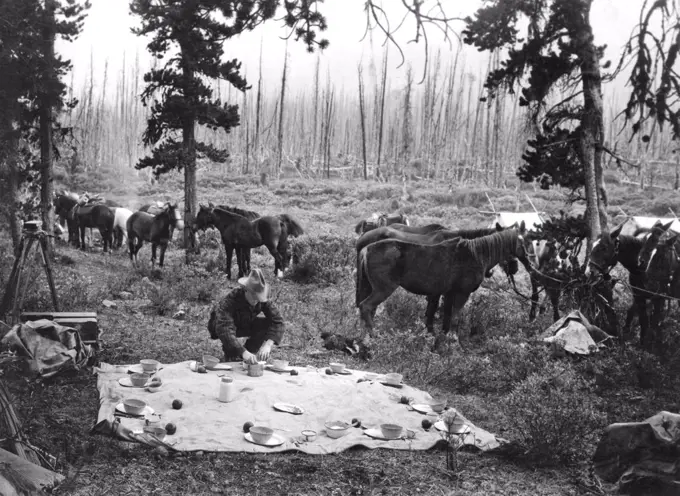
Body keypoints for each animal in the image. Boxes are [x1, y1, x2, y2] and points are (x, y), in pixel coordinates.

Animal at [358, 229, 528, 348]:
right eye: (522, 243)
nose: (516, 267)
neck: (476, 254)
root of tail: (367, 249)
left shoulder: (448, 293)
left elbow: (445, 316)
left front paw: (441, 339)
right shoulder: (462, 293)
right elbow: (454, 318)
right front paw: (454, 342)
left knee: (366, 309)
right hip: (383, 289)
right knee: (366, 307)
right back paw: (374, 336)